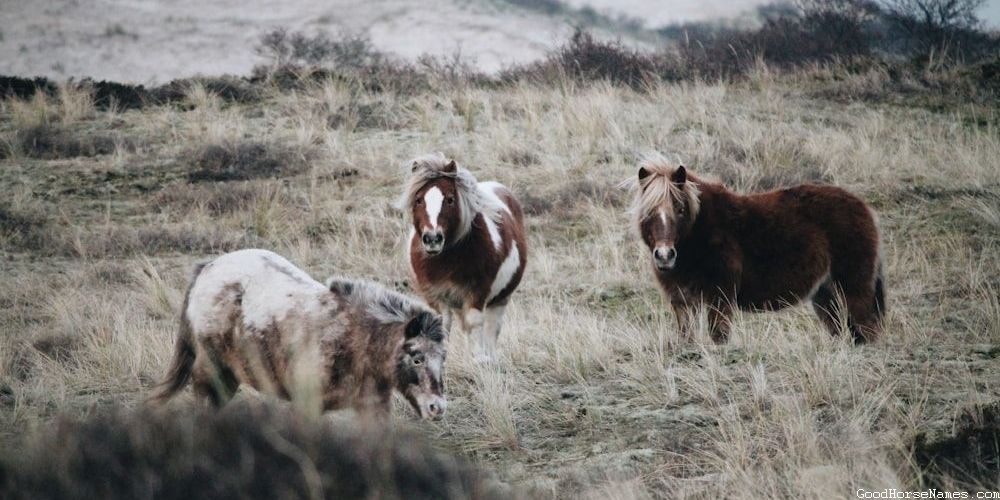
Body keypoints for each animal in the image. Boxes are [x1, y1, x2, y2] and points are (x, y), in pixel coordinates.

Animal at [147, 249, 448, 420]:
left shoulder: (372, 407)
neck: (354, 339)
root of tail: (207, 269)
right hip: (213, 372)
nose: (437, 407)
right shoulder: (308, 404)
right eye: (416, 357)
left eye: (442, 359)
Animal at [399, 153, 527, 362]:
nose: (432, 239)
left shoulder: (476, 293)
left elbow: (475, 323)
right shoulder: (436, 297)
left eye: (450, 199)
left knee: (491, 329)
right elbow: (442, 326)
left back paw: (490, 357)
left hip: (500, 299)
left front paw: (479, 359)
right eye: (418, 200)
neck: (445, 261)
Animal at [630, 155, 885, 344]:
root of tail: (864, 208)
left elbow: (719, 336)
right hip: (824, 293)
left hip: (853, 288)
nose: (664, 256)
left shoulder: (720, 298)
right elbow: (687, 338)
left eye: (680, 209)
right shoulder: (682, 303)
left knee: (867, 328)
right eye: (648, 213)